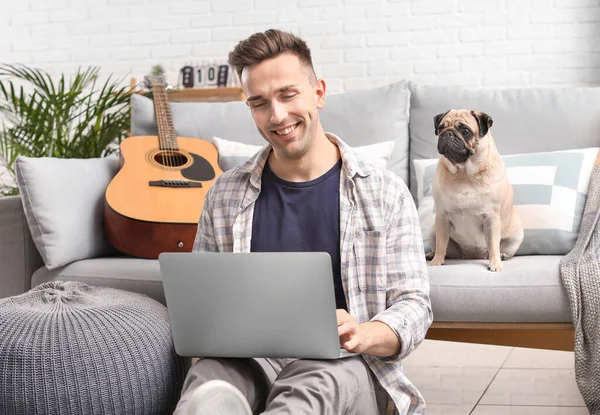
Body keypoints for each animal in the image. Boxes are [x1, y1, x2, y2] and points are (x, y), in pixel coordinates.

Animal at [428, 109, 524, 272]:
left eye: (465, 131)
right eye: (440, 128)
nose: (447, 133)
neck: (463, 173)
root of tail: (472, 255)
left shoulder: (491, 218)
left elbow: (493, 245)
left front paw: (496, 264)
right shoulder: (442, 216)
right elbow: (441, 244)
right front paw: (436, 262)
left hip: (517, 236)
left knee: (501, 249)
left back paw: (503, 255)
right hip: (433, 231)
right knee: (443, 248)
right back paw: (431, 254)